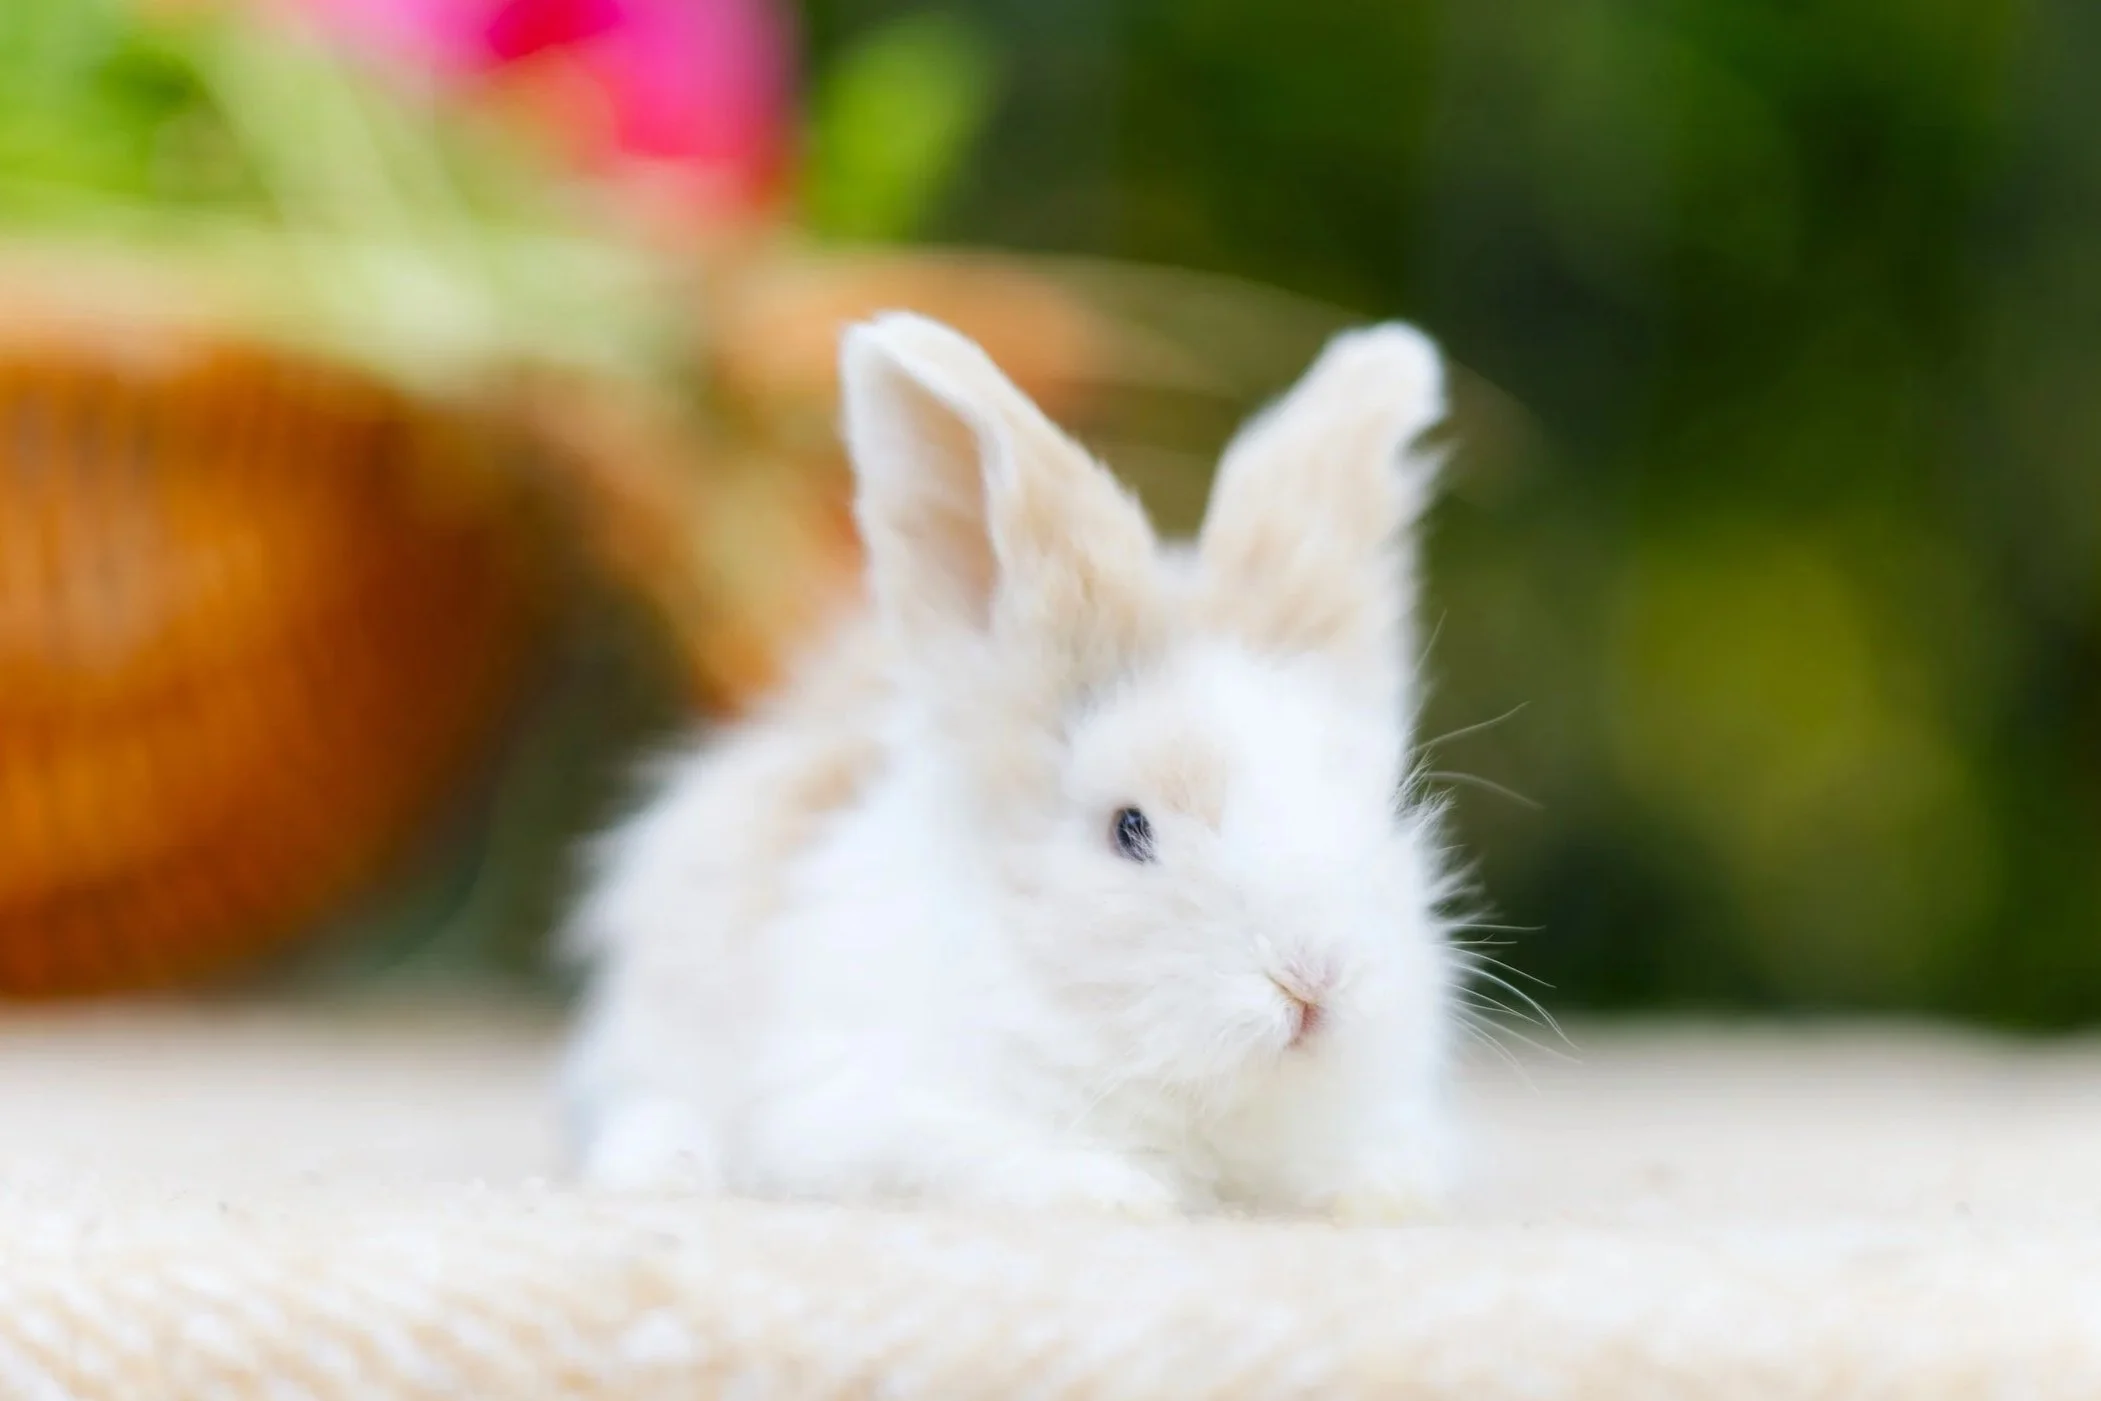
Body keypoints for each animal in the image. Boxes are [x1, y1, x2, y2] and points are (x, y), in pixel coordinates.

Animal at [560, 310, 1461, 1219]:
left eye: (1377, 804)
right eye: (1129, 829)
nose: (1314, 980)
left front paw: (1377, 1192)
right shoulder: (863, 1114)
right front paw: (1114, 1192)